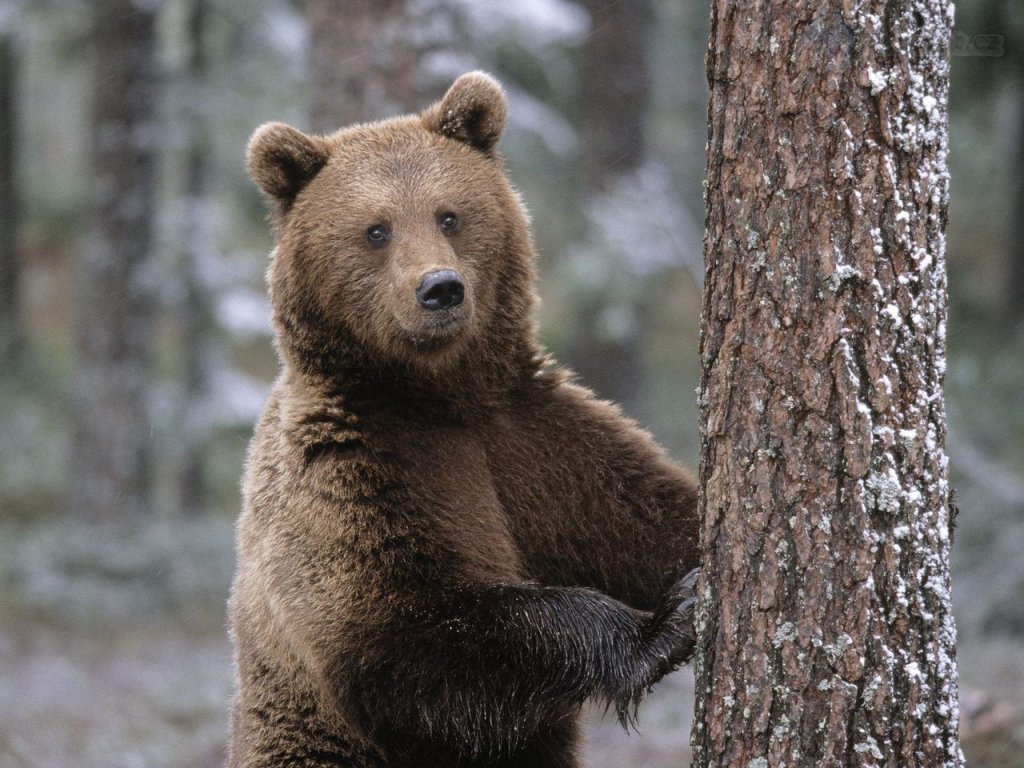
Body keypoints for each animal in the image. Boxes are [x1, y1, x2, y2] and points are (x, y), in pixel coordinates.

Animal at [228, 72, 700, 768]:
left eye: (448, 214)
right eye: (376, 230)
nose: (440, 289)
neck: (439, 394)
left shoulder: (538, 443)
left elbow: (650, 516)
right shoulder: (355, 471)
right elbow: (410, 634)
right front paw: (663, 625)